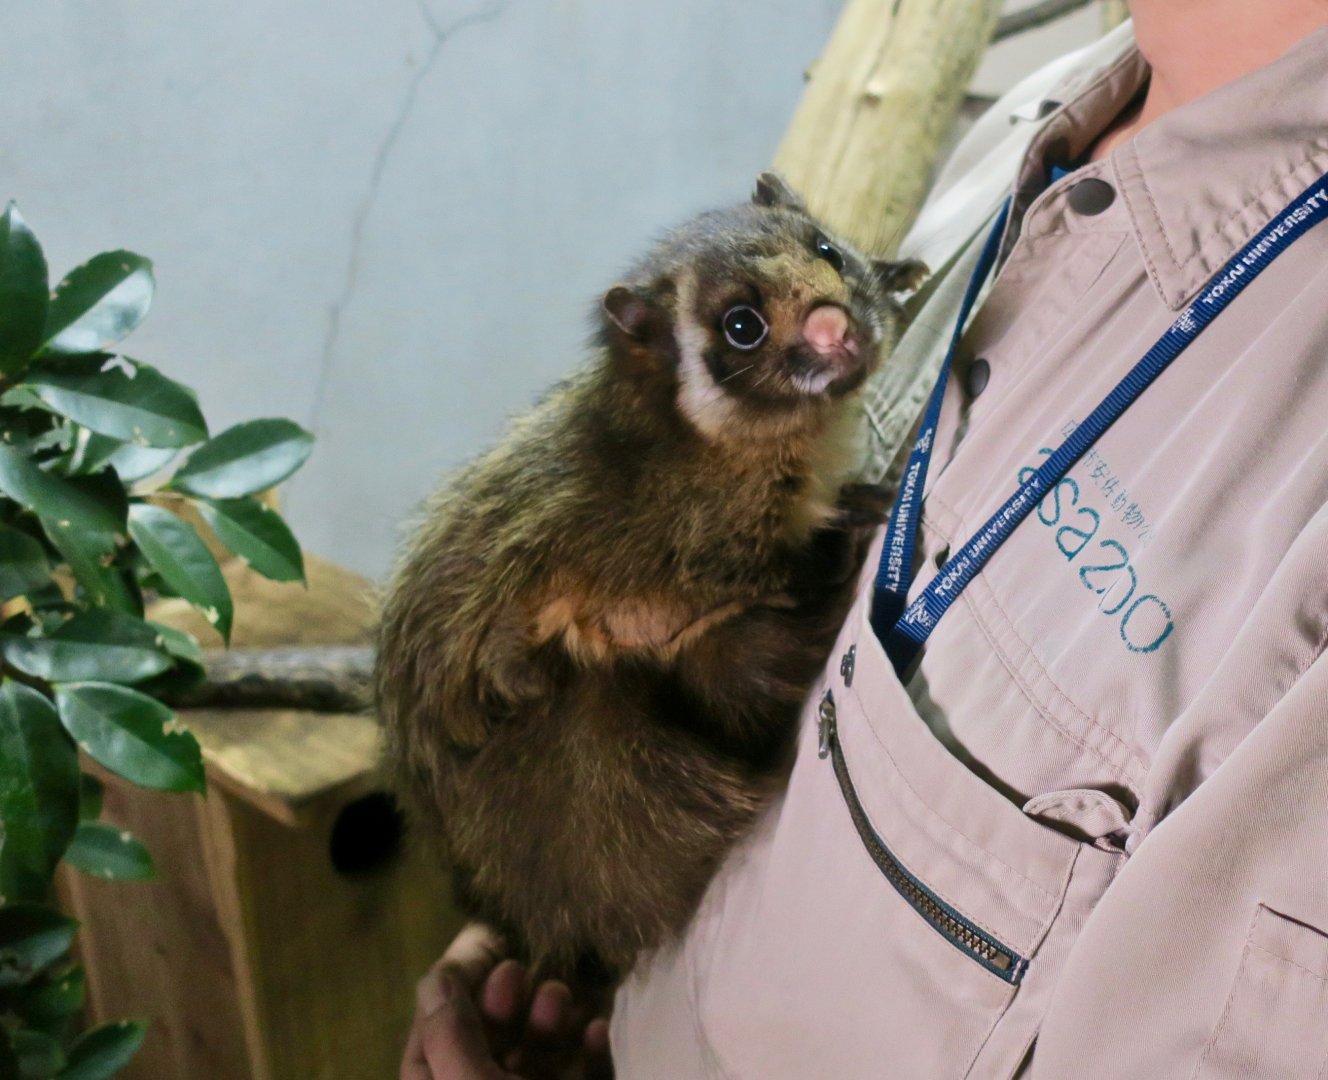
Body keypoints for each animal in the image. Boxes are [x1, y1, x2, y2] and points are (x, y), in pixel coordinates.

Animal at [375, 172, 927, 982]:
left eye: (826, 250)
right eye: (741, 327)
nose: (836, 327)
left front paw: (896, 278)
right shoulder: (683, 541)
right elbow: (720, 586)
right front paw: (848, 528)